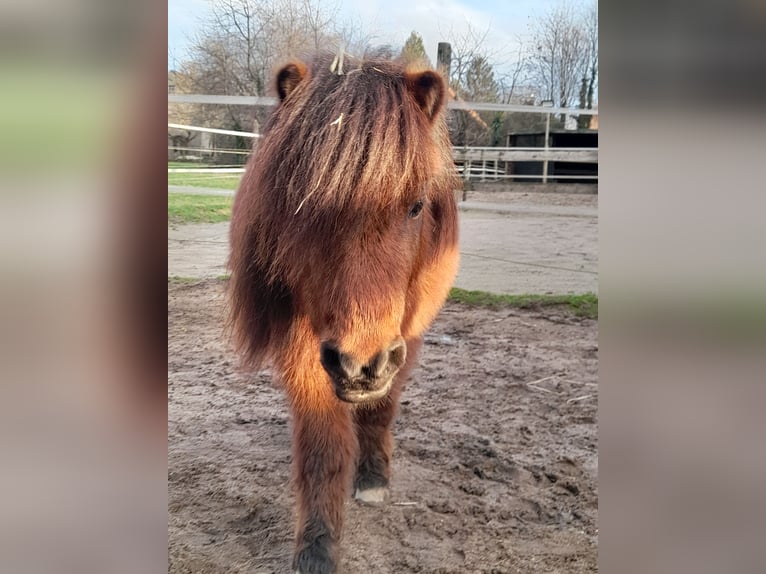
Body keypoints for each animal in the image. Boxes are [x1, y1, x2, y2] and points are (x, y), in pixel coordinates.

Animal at [225, 51, 460, 572]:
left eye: (417, 207)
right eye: (303, 206)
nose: (361, 365)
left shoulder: (405, 335)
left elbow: (381, 408)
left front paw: (372, 478)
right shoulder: (304, 346)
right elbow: (321, 445)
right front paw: (317, 546)